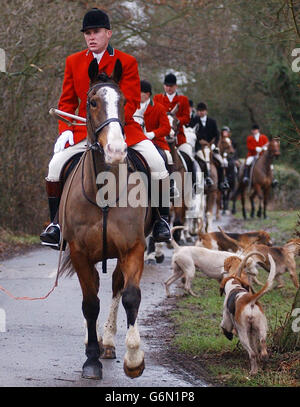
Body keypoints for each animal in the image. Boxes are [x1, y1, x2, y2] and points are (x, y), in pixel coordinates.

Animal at [58, 59, 152, 380]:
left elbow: (131, 296)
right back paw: (98, 343)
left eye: (123, 101)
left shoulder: (133, 248)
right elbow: (90, 305)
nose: (116, 150)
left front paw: (134, 359)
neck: (104, 191)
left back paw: (109, 342)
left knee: (116, 287)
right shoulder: (80, 253)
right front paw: (91, 360)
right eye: (92, 102)